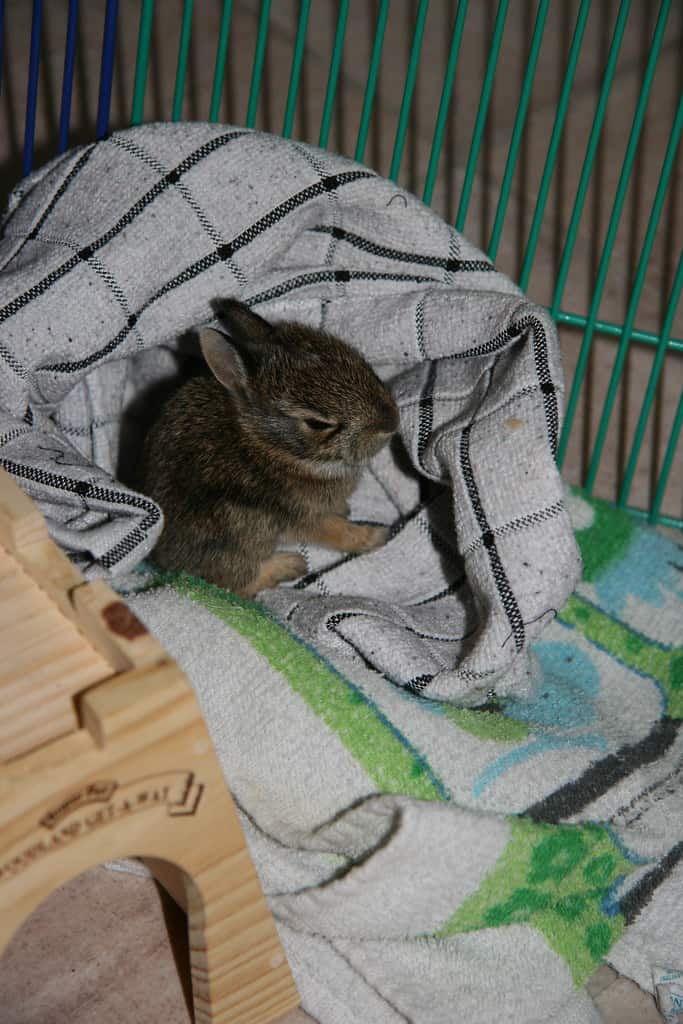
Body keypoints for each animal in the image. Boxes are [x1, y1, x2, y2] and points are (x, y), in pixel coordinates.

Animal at [142, 298, 399, 598]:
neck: (271, 446)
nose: (392, 422)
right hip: (243, 531)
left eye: (362, 363)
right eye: (317, 423)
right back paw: (290, 565)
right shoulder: (304, 516)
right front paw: (377, 536)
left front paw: (345, 508)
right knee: (234, 584)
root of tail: (162, 561)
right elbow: (339, 532)